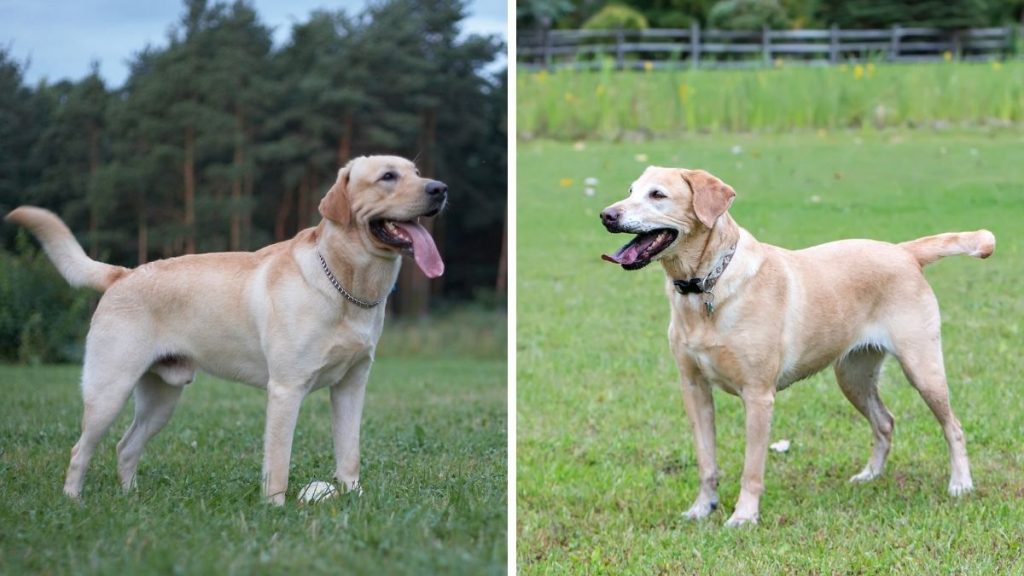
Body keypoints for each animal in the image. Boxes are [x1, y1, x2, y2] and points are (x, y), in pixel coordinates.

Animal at [7, 153, 448, 502]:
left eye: (416, 171)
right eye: (388, 176)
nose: (440, 188)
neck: (345, 286)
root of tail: (123, 273)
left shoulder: (351, 387)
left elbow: (349, 453)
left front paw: (353, 499)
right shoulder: (286, 390)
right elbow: (278, 461)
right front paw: (276, 509)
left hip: (161, 398)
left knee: (125, 447)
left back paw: (131, 499)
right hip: (108, 390)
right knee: (80, 450)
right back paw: (74, 502)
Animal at [598, 165, 991, 524]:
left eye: (658, 195)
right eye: (630, 190)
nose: (606, 215)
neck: (706, 287)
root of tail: (904, 252)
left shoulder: (758, 395)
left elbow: (752, 468)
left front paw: (744, 516)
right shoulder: (694, 388)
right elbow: (706, 461)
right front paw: (702, 508)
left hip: (922, 367)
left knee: (953, 427)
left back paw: (960, 484)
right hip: (853, 376)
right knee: (885, 421)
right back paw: (870, 475)